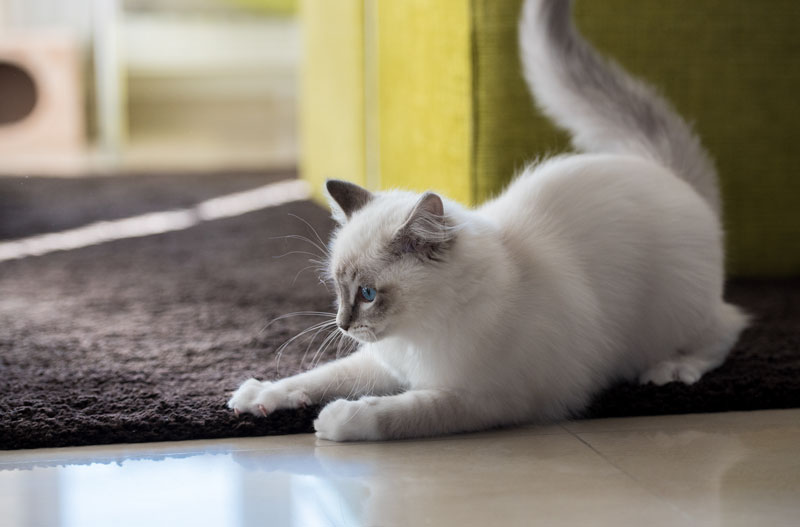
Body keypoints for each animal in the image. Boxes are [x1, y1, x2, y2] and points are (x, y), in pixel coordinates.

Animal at [228, 0, 748, 442]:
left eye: (369, 294)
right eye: (337, 289)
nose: (342, 324)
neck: (422, 332)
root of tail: (662, 169)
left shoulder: (486, 397)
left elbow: (397, 412)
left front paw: (337, 420)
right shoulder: (387, 363)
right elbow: (319, 376)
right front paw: (260, 395)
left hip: (675, 314)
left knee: (730, 325)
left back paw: (672, 370)